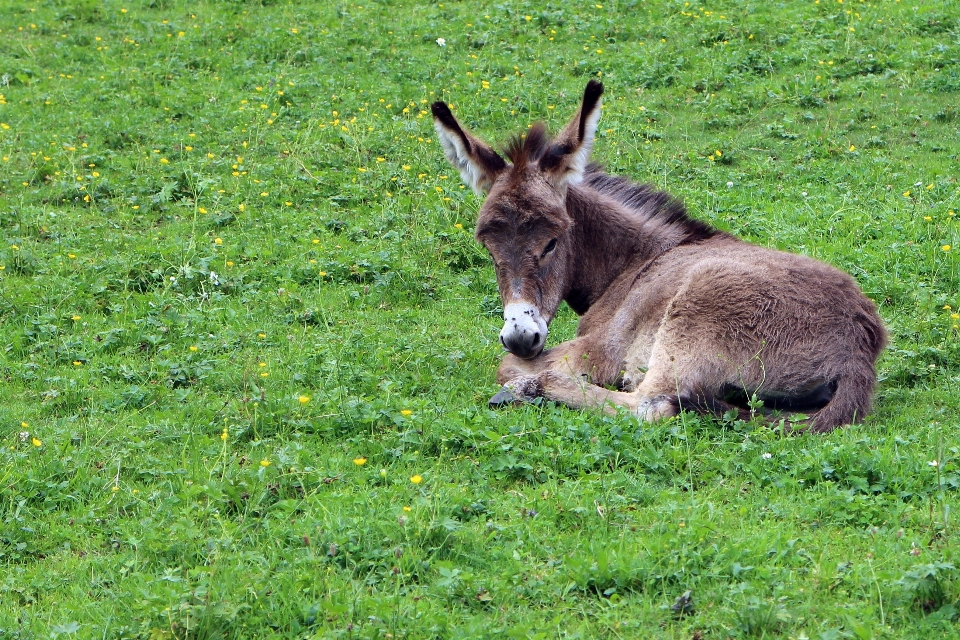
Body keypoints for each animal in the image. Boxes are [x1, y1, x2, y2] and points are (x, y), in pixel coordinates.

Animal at [434, 80, 884, 430]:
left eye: (552, 242)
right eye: (487, 247)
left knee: (651, 405)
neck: (633, 264)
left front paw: (522, 379)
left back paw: (528, 390)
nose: (520, 335)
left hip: (694, 318)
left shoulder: (603, 348)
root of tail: (858, 350)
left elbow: (505, 365)